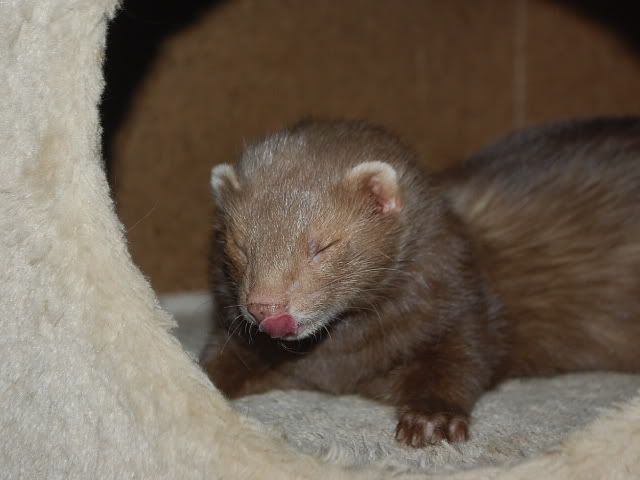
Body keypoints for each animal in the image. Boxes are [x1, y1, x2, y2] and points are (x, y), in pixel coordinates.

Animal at [200, 117, 640, 448]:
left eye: (323, 245)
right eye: (239, 244)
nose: (266, 307)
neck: (340, 363)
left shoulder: (464, 305)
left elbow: (463, 360)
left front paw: (432, 419)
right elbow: (216, 365)